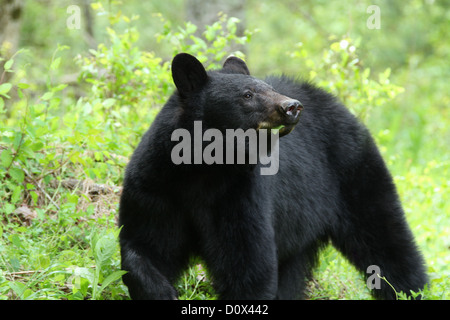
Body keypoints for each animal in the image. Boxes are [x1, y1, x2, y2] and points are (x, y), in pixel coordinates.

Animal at [118, 53, 428, 300]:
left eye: (269, 88)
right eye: (247, 94)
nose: (292, 106)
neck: (202, 168)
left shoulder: (239, 193)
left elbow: (248, 265)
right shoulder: (155, 188)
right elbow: (144, 246)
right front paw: (161, 291)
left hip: (354, 173)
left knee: (386, 242)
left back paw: (412, 290)